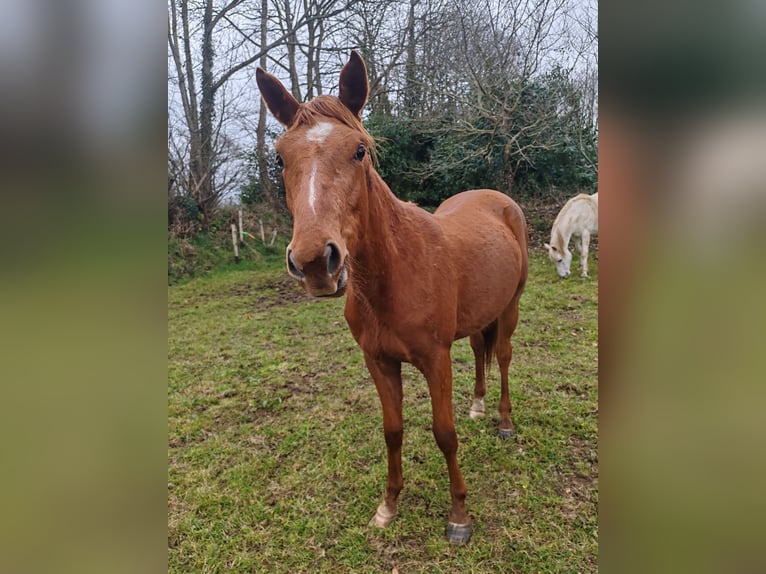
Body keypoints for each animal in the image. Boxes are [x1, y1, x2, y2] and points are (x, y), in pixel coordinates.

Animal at [256, 51, 528, 548]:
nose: (314, 262)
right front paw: (388, 506)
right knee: (480, 351)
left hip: (510, 307)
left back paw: (502, 421)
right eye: (280, 157)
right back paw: (478, 406)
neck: (395, 273)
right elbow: (393, 431)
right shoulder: (378, 361)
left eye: (359, 150)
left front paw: (459, 516)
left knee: (501, 355)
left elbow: (444, 433)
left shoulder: (435, 360)